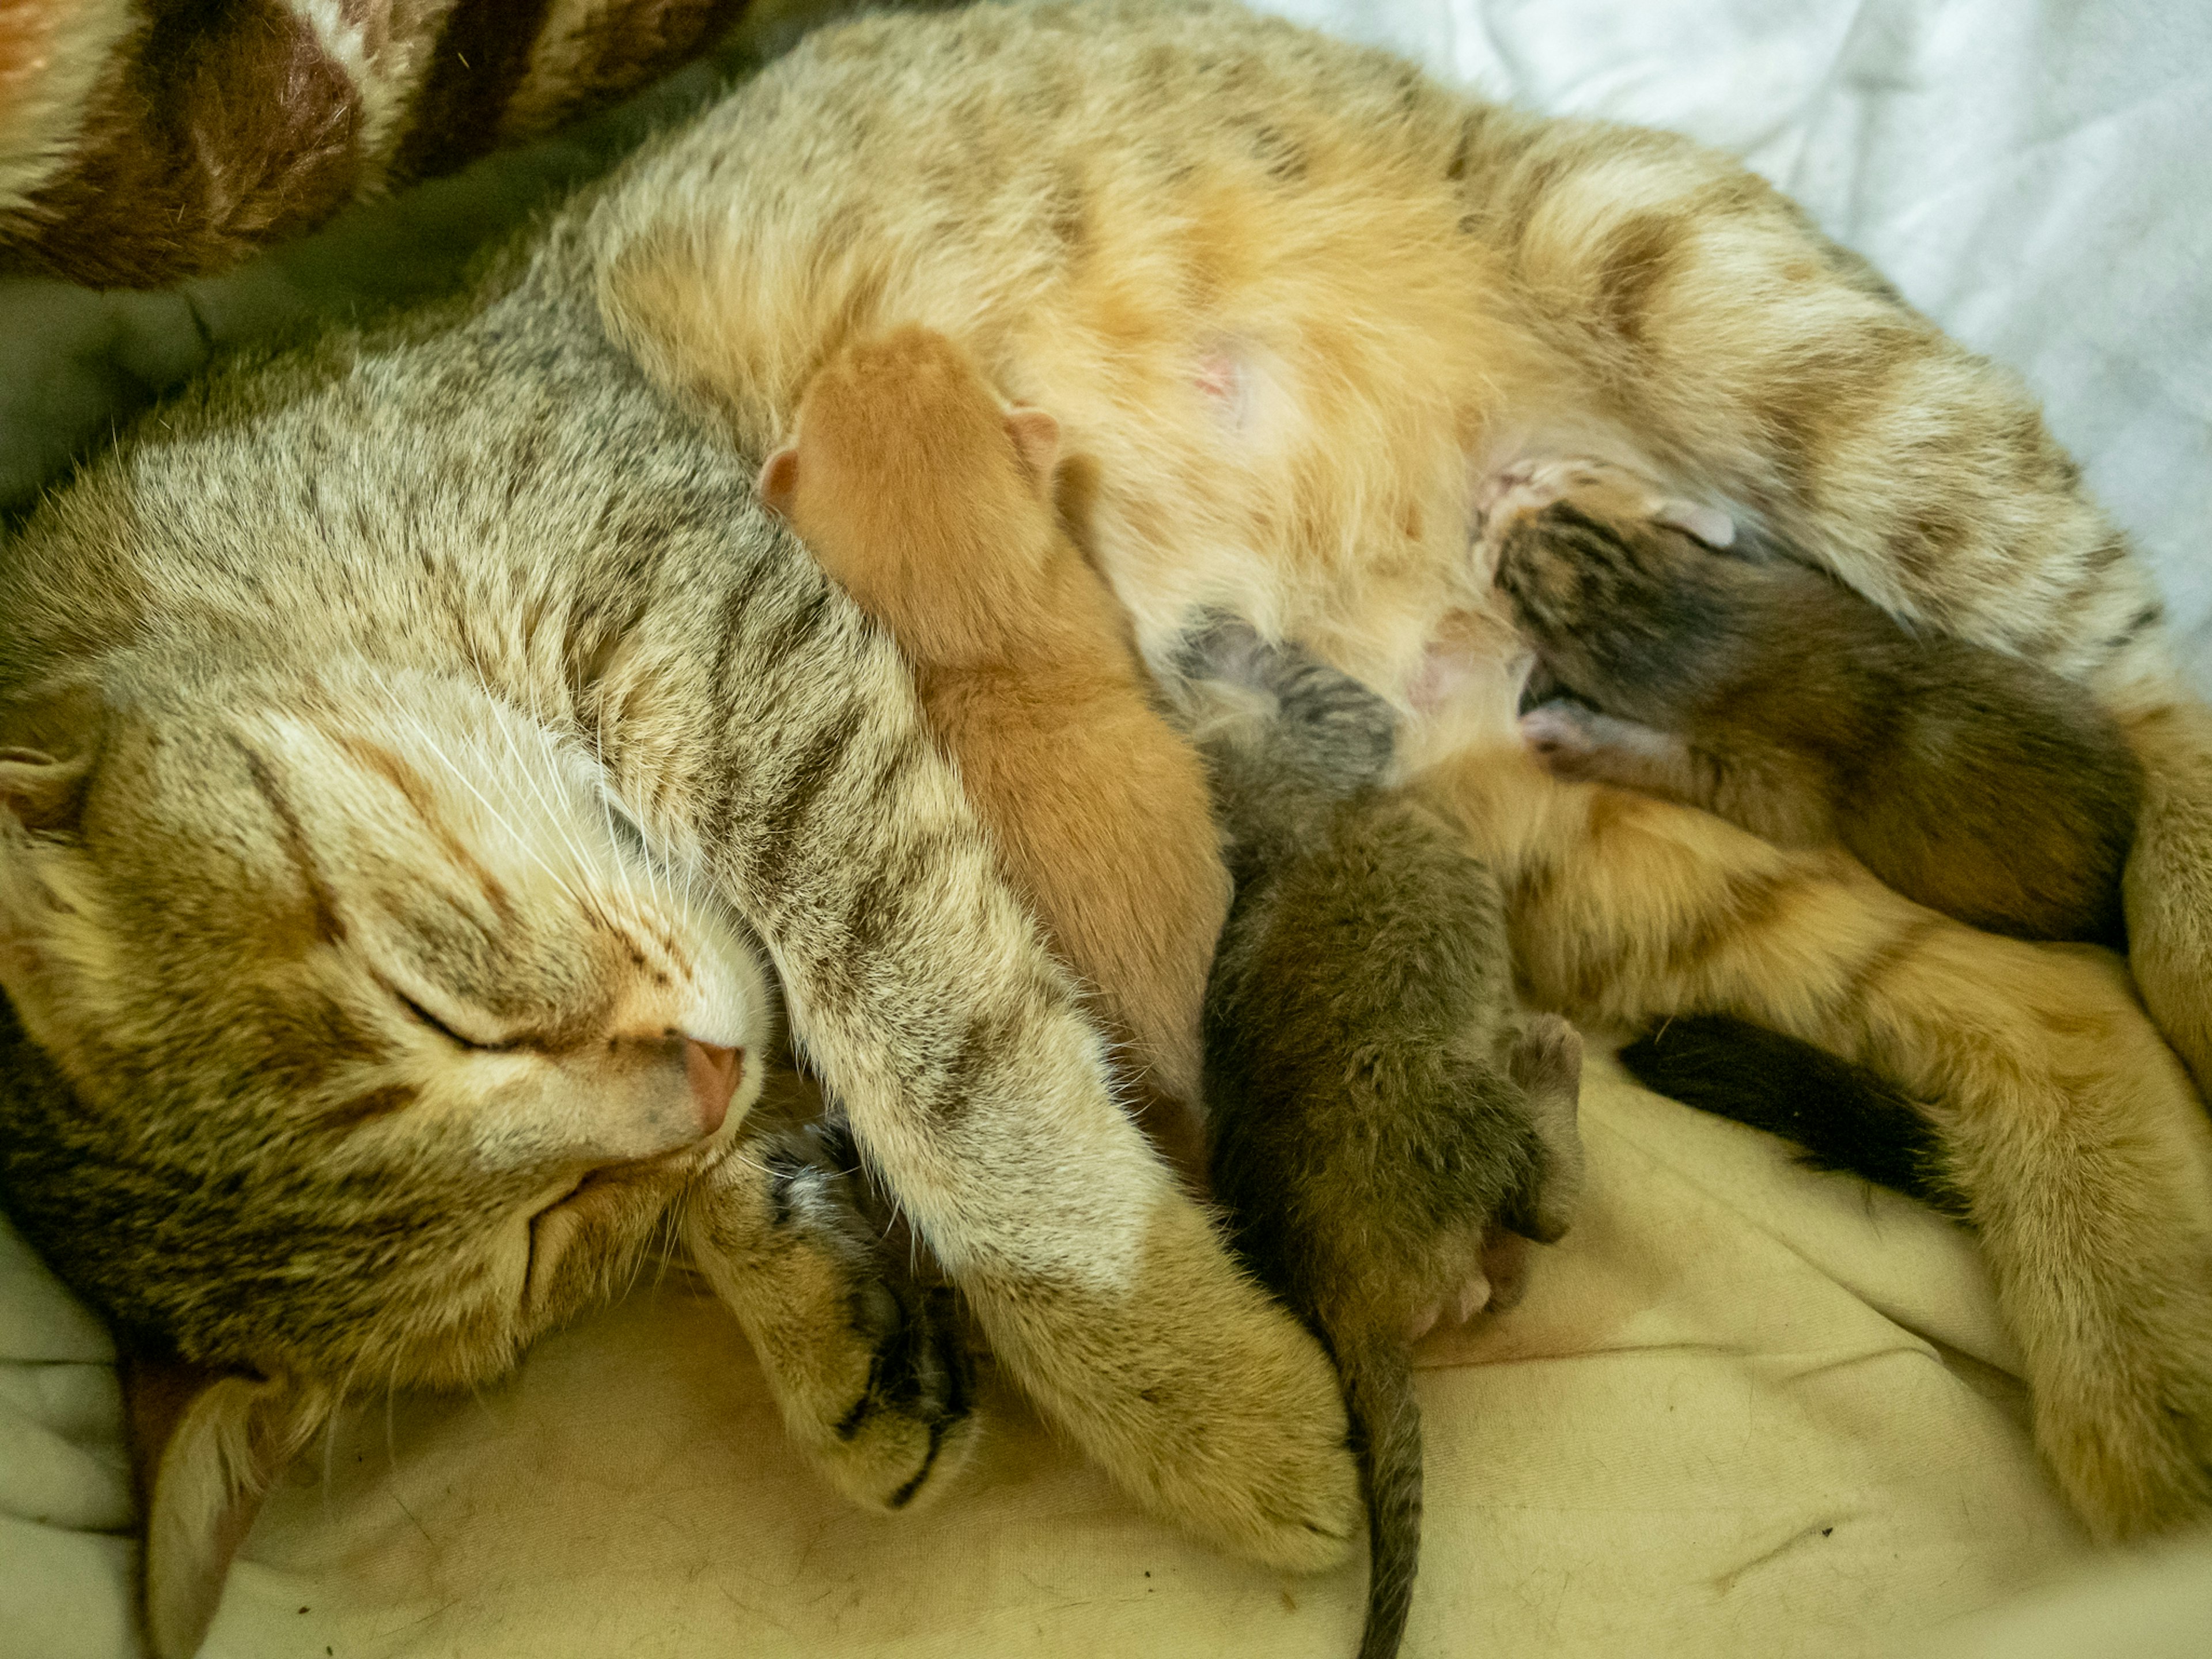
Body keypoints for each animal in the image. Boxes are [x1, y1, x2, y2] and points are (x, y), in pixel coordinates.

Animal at [1185, 619, 1584, 1659]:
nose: (1209, 626)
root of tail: (1347, 1301)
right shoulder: (1337, 724)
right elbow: (1361, 705)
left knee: (1509, 1267)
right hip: (1437, 1083)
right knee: (1552, 1207)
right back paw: (1550, 1066)